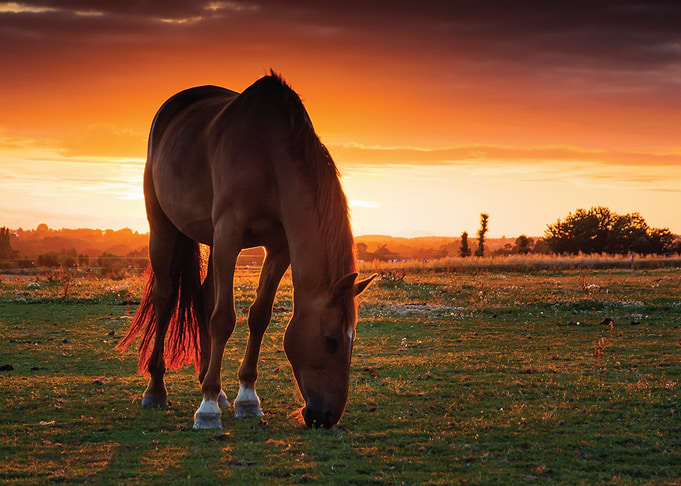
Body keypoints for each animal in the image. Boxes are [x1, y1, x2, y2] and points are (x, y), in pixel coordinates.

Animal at [118, 71, 376, 429]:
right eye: (331, 340)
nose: (327, 416)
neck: (269, 156)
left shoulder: (278, 247)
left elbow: (259, 315)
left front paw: (246, 398)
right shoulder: (229, 235)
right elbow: (224, 318)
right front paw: (207, 409)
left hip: (211, 240)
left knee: (204, 297)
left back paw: (214, 385)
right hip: (164, 227)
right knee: (165, 297)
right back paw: (157, 390)